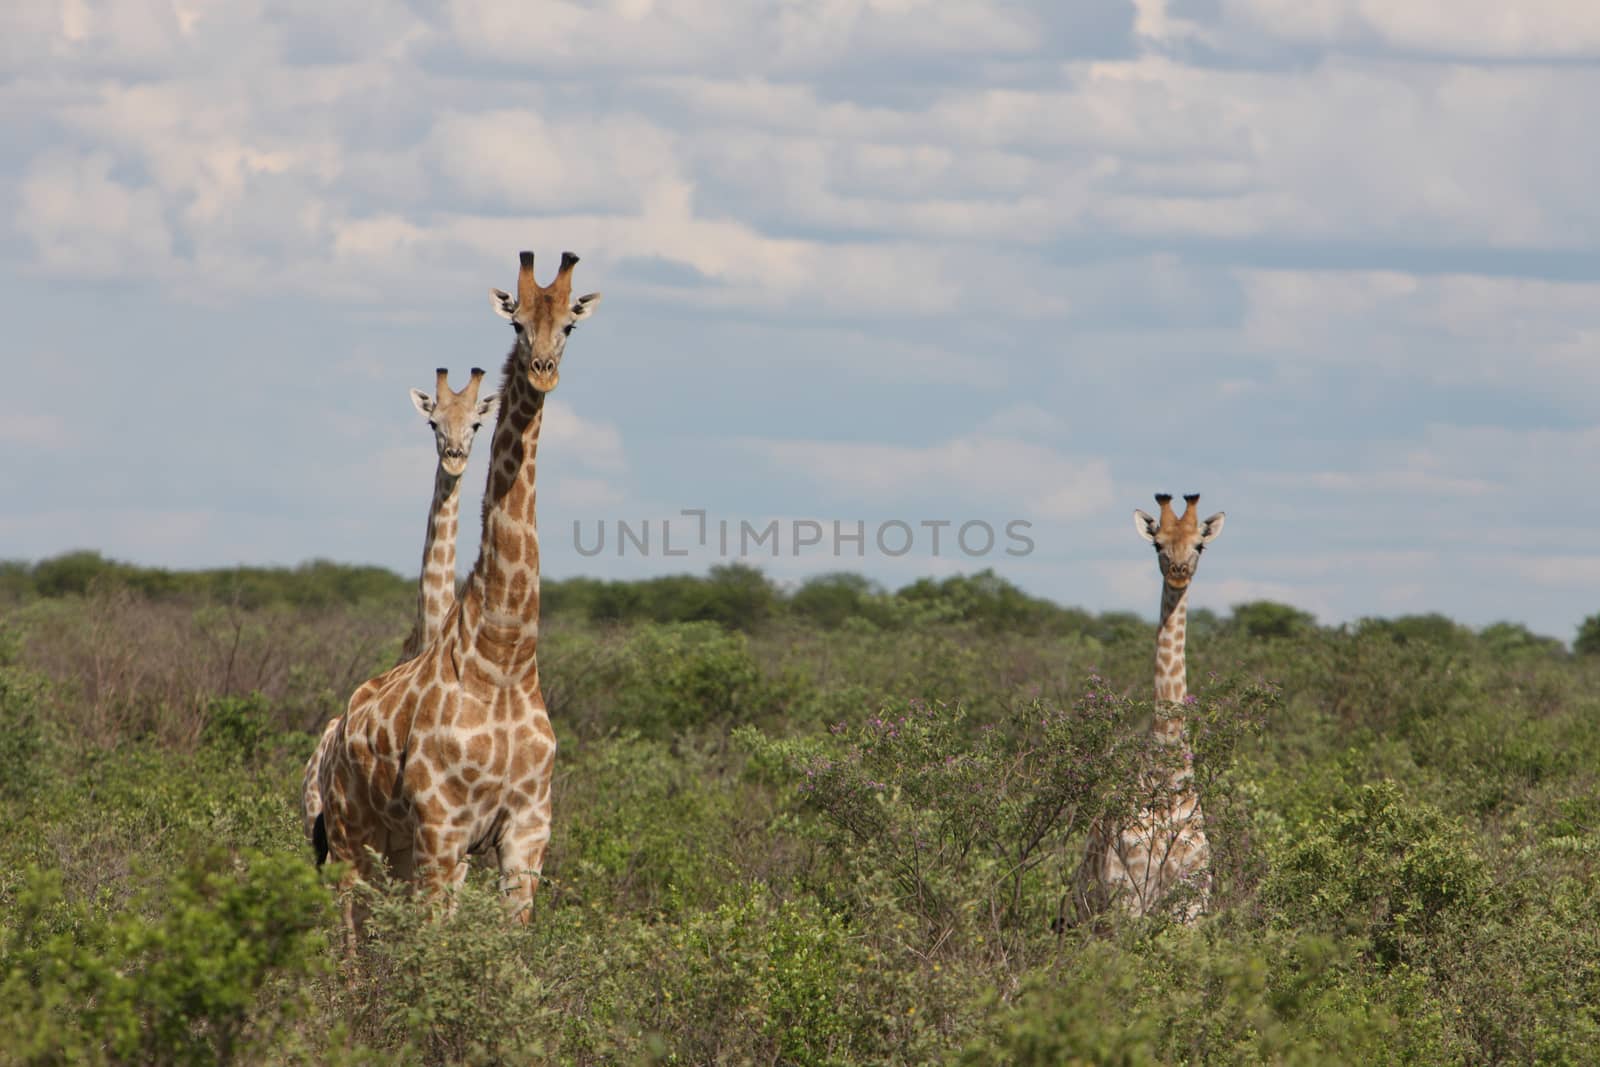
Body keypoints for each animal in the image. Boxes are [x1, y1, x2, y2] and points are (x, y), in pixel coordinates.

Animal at [1075, 495, 1222, 921]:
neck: (1167, 782)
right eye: (1158, 545)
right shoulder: (1129, 891)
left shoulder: (1193, 897)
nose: (1178, 575)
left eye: (1200, 545)